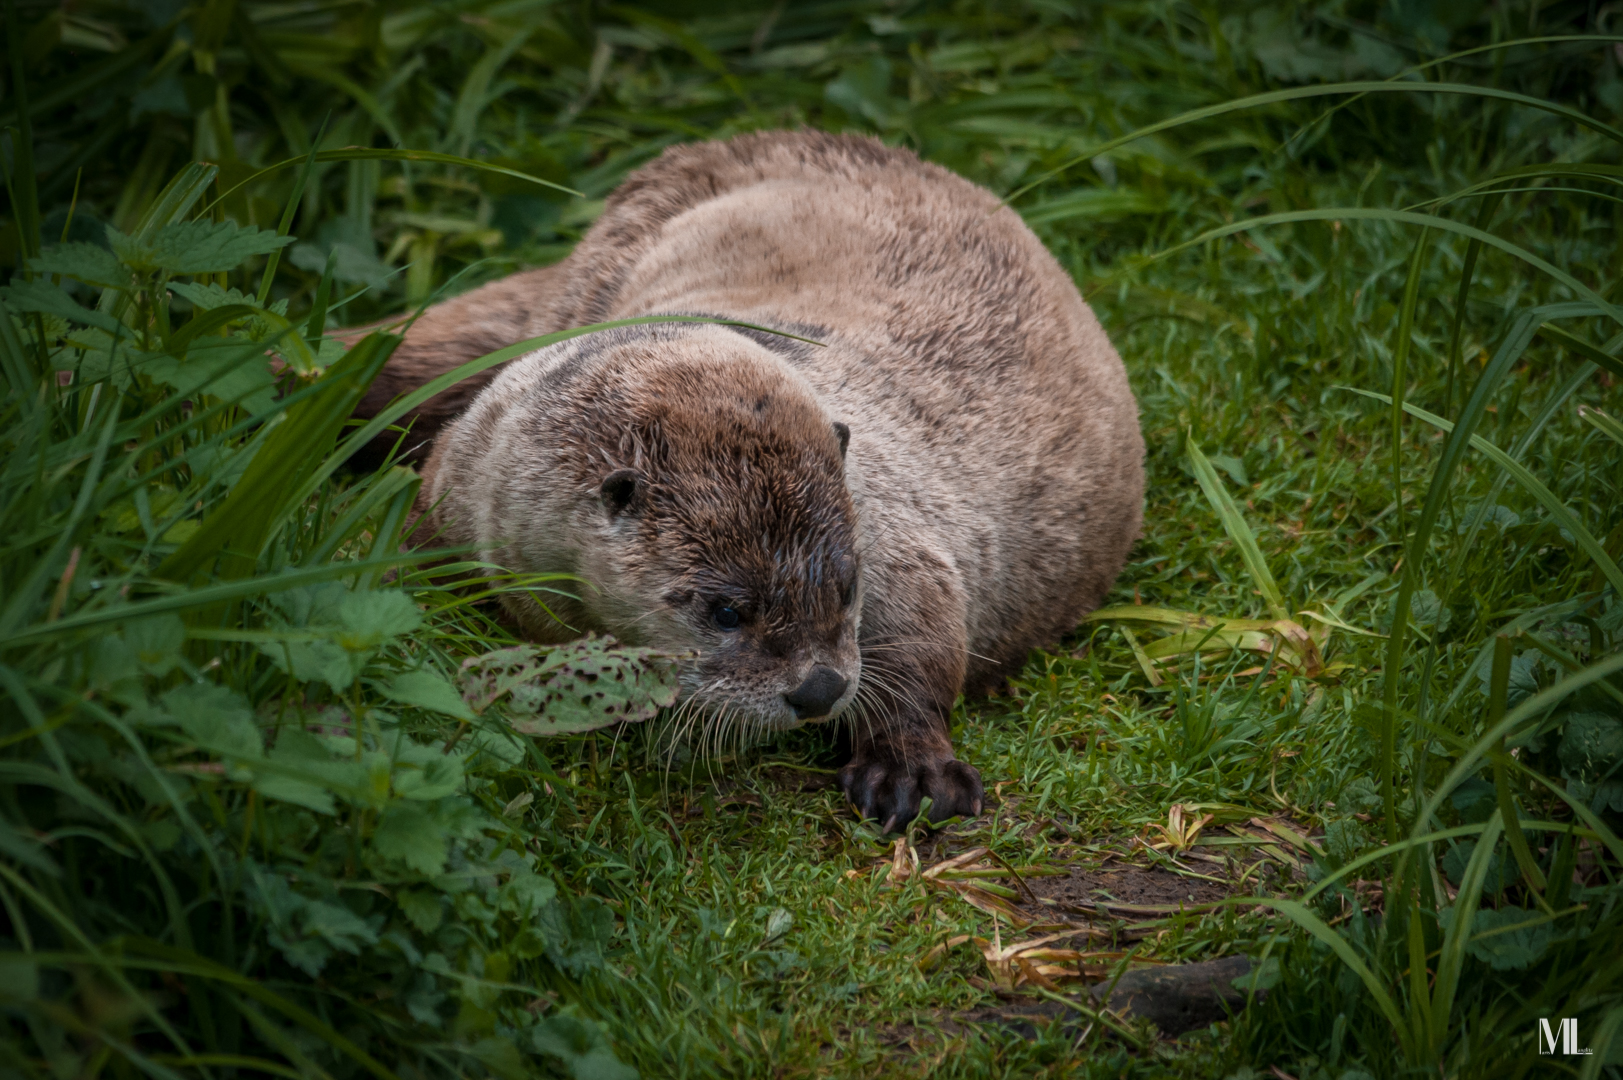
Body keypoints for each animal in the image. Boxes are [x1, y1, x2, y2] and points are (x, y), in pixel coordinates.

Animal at [358, 130, 1142, 828]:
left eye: (846, 587)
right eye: (726, 611)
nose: (819, 690)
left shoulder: (893, 532)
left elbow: (922, 649)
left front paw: (911, 770)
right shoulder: (461, 485)